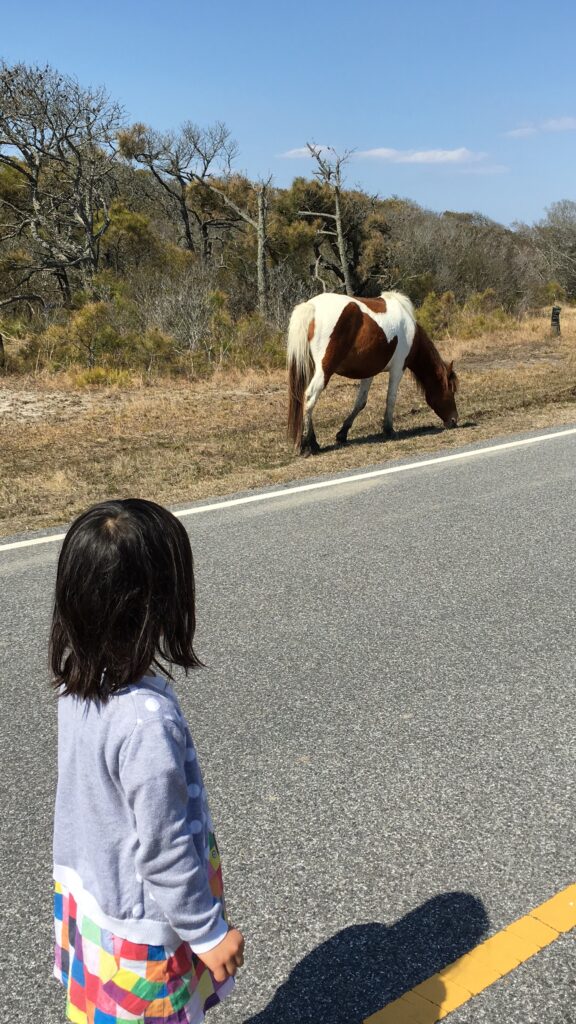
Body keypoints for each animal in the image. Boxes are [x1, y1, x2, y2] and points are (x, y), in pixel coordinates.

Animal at [284, 292, 455, 460]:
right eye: (451, 390)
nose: (454, 421)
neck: (411, 331)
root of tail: (311, 306)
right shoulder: (398, 368)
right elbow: (391, 398)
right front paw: (389, 430)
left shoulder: (369, 373)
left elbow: (360, 402)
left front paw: (342, 434)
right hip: (324, 371)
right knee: (309, 397)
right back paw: (310, 445)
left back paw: (306, 443)